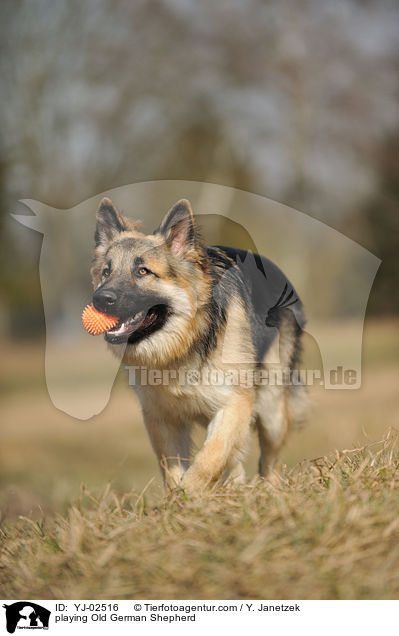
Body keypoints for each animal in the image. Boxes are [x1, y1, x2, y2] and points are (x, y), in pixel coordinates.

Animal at [91, 196, 310, 494]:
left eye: (143, 271)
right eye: (106, 272)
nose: (100, 299)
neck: (183, 343)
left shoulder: (234, 404)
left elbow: (210, 457)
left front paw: (190, 493)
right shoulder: (162, 419)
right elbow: (173, 468)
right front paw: (179, 498)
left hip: (270, 408)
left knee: (269, 460)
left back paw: (269, 489)